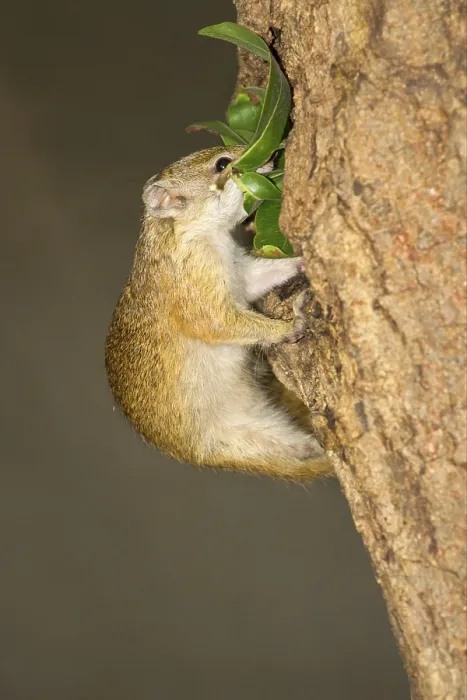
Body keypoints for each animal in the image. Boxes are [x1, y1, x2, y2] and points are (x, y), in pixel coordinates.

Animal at [105, 145, 330, 480]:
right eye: (222, 165)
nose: (273, 155)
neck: (192, 231)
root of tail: (197, 455)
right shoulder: (194, 283)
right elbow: (217, 323)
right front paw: (291, 326)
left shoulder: (238, 272)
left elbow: (259, 278)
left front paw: (301, 259)